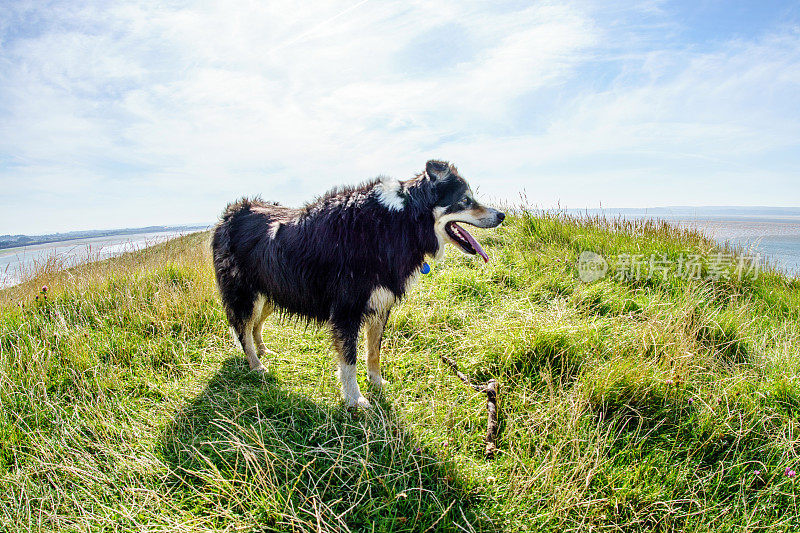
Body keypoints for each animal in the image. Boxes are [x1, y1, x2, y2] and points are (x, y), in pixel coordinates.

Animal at [209, 160, 504, 406]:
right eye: (465, 200)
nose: (501, 216)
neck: (399, 220)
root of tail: (228, 215)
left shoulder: (381, 304)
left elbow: (373, 352)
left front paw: (377, 383)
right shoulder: (347, 310)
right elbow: (348, 360)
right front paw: (355, 400)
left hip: (274, 292)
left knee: (254, 326)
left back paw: (263, 350)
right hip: (244, 295)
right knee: (242, 330)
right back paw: (256, 365)